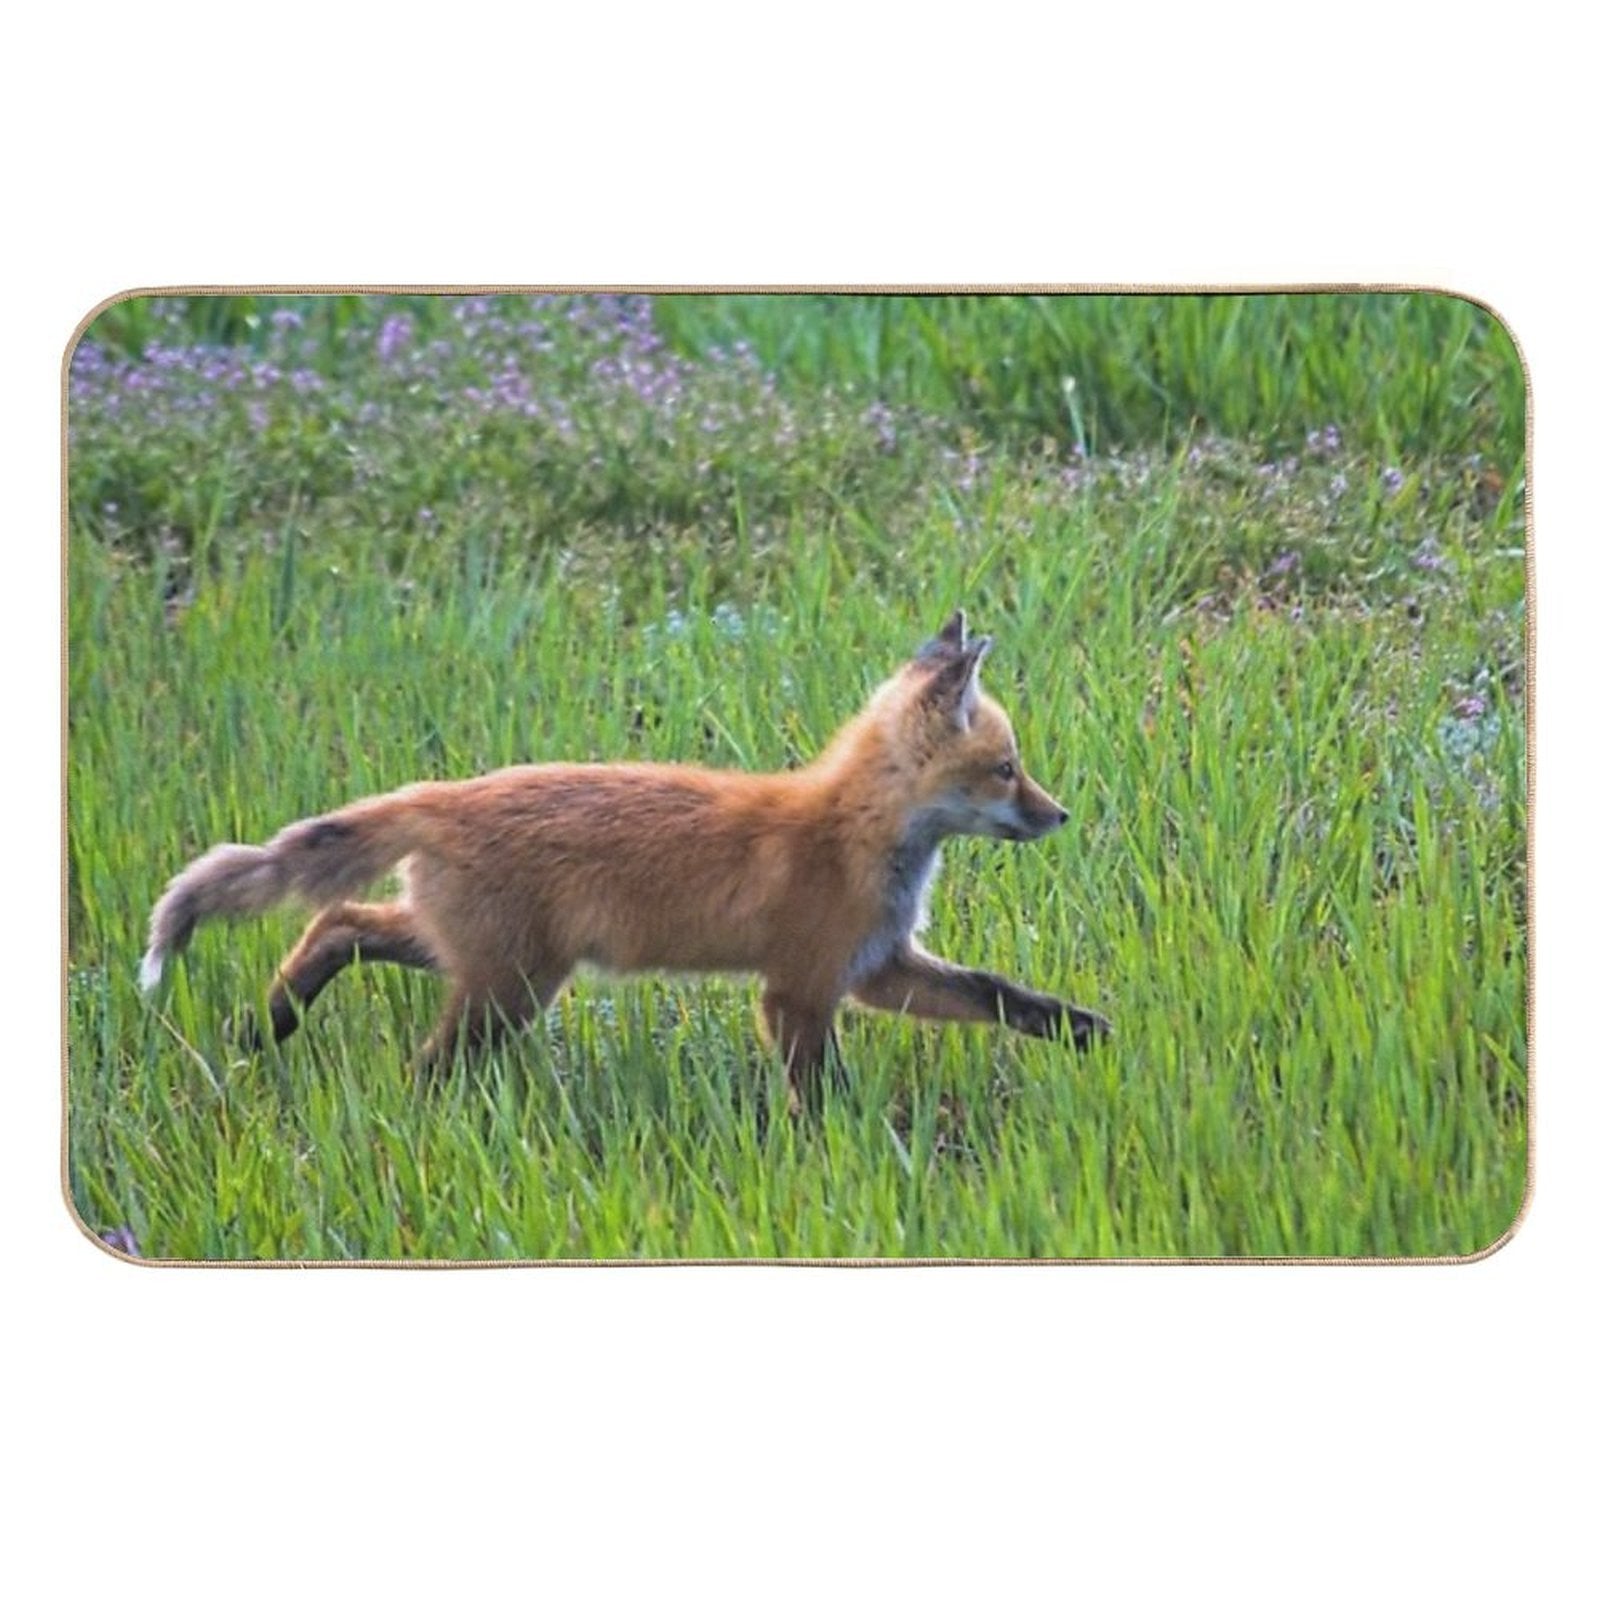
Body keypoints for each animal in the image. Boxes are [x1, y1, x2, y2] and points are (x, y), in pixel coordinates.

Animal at [140, 610, 1109, 1108]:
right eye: (1008, 769)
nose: (1062, 814)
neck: (852, 836)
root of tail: (444, 793)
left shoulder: (876, 969)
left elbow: (994, 994)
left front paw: (1077, 1028)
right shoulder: (799, 989)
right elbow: (820, 1091)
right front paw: (846, 1148)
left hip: (474, 957)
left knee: (338, 922)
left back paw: (270, 1022)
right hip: (510, 989)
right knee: (421, 1052)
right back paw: (411, 1112)